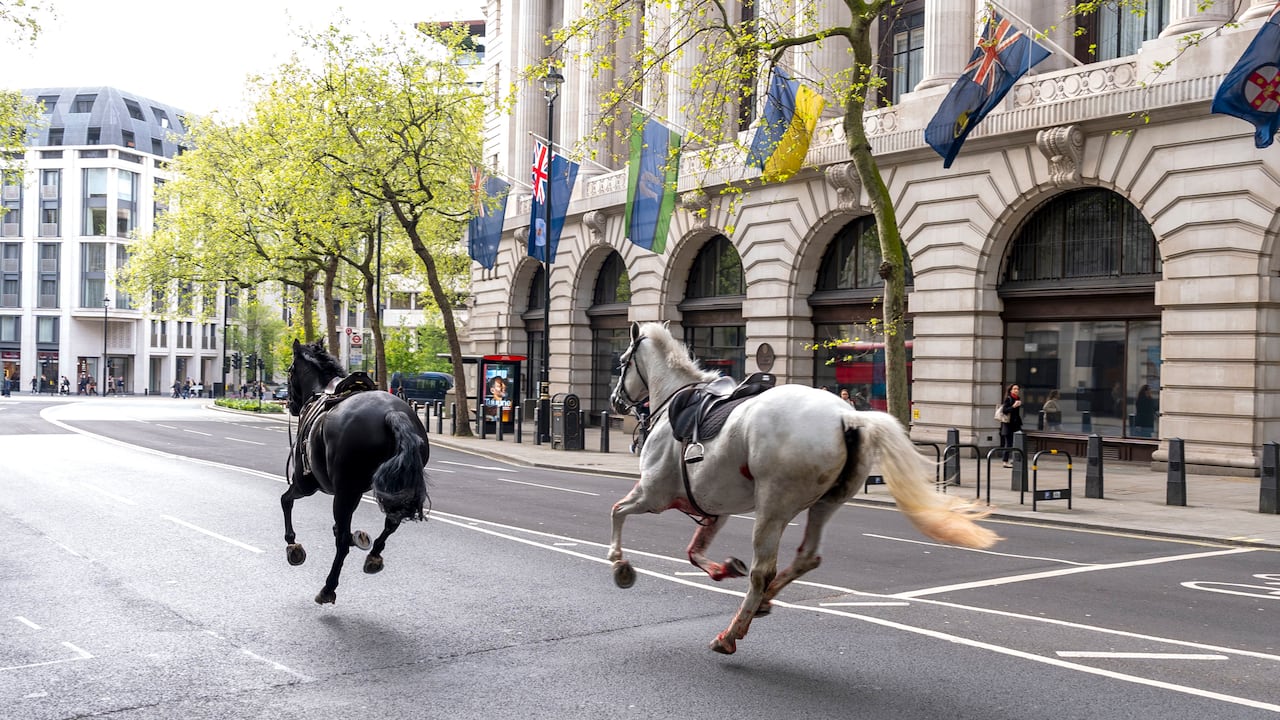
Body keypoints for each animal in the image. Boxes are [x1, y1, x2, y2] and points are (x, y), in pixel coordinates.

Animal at [282, 339, 431, 605]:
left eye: (290, 371)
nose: (291, 405)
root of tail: (392, 413)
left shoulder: (306, 483)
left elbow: (286, 501)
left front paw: (293, 545)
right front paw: (359, 537)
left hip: (342, 491)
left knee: (341, 542)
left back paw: (328, 587)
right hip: (391, 487)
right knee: (391, 522)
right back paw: (373, 555)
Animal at [609, 322, 1000, 654]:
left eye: (622, 362)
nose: (614, 401)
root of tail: (849, 415)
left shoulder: (653, 494)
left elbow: (617, 511)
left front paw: (619, 563)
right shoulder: (713, 507)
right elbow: (693, 551)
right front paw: (722, 568)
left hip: (773, 506)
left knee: (763, 570)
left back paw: (732, 632)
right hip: (826, 502)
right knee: (806, 557)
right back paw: (764, 601)